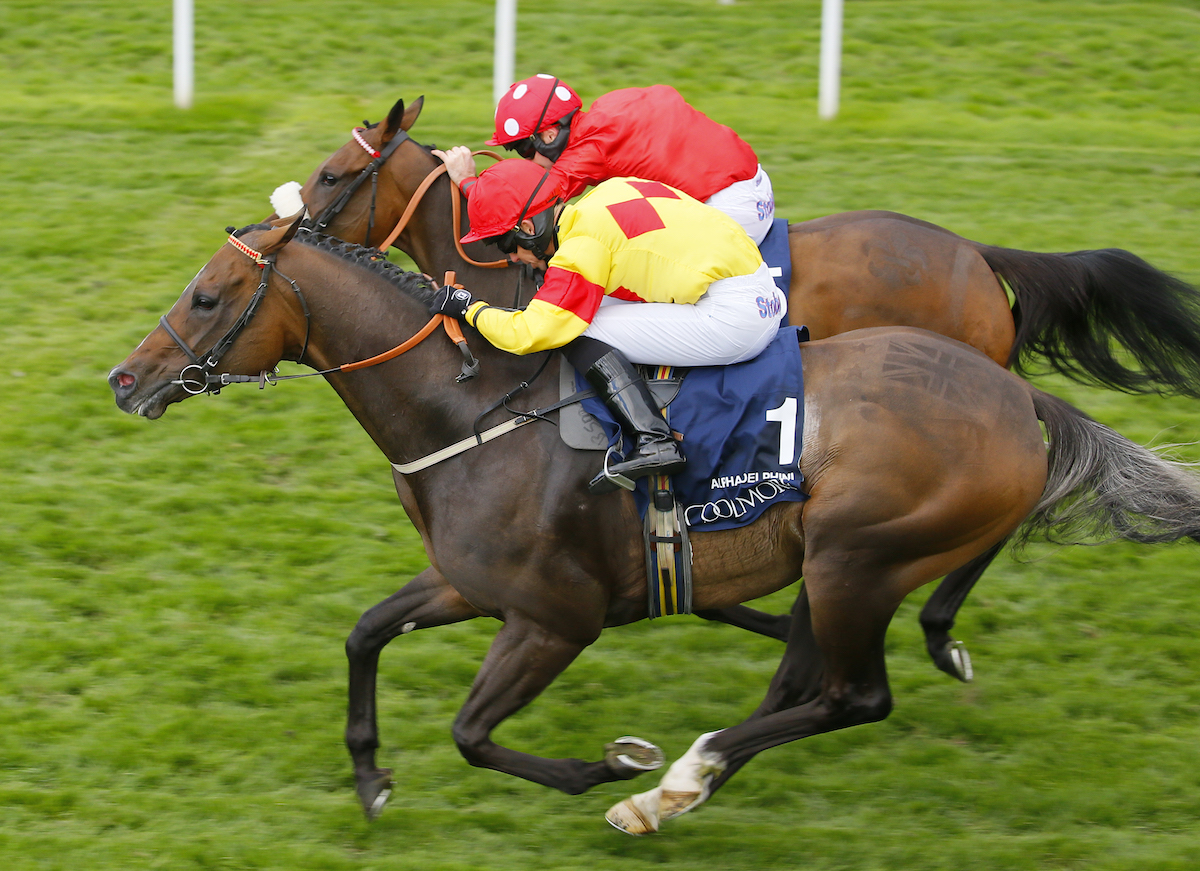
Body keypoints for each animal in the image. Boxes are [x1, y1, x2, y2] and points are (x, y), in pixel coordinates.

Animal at [110, 218, 1200, 830]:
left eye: (207, 295)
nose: (125, 379)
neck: (472, 414)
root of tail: (1016, 396)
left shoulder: (555, 619)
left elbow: (472, 732)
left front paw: (612, 763)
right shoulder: (470, 583)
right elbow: (365, 632)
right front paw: (372, 775)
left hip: (856, 558)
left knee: (854, 695)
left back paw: (672, 779)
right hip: (836, 565)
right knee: (809, 679)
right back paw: (694, 781)